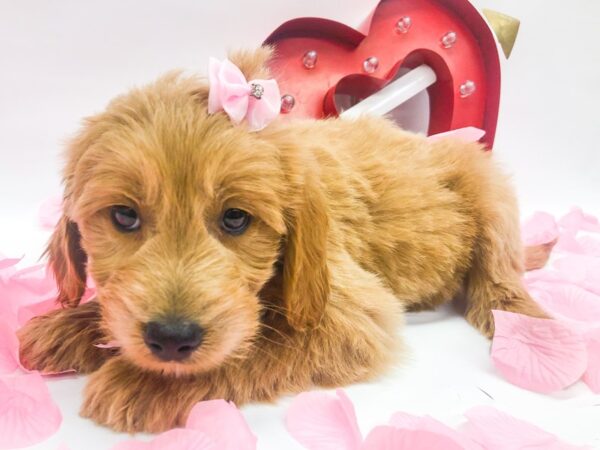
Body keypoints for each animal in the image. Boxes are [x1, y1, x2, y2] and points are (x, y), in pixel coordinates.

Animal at [18, 48, 548, 432]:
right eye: (124, 216)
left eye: (235, 219)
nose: (171, 340)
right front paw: (72, 324)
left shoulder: (353, 314)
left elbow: (262, 343)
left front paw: (145, 383)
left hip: (490, 191)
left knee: (500, 273)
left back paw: (526, 326)